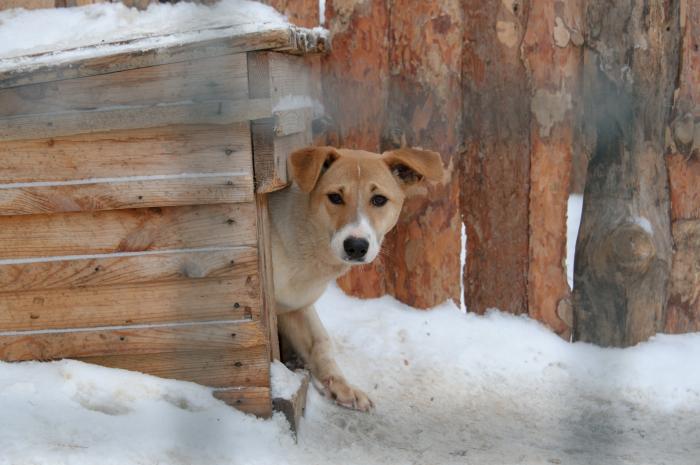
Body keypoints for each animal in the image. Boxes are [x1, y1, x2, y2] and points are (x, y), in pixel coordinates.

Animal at [268, 145, 442, 410]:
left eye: (379, 199)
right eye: (335, 197)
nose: (356, 246)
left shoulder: (295, 307)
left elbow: (320, 342)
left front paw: (341, 387)